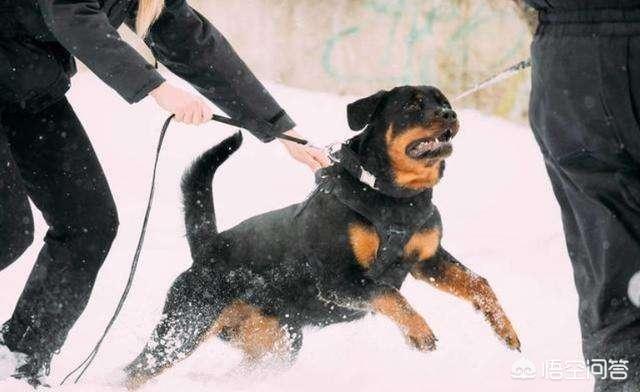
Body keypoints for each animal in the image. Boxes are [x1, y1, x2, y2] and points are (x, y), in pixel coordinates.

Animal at [124, 84, 520, 388]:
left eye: (444, 102)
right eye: (413, 105)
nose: (450, 115)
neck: (396, 197)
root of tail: (208, 246)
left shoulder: (428, 260)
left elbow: (479, 283)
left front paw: (506, 330)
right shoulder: (337, 279)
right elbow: (388, 293)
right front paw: (418, 331)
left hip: (278, 345)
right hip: (186, 325)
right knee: (135, 370)